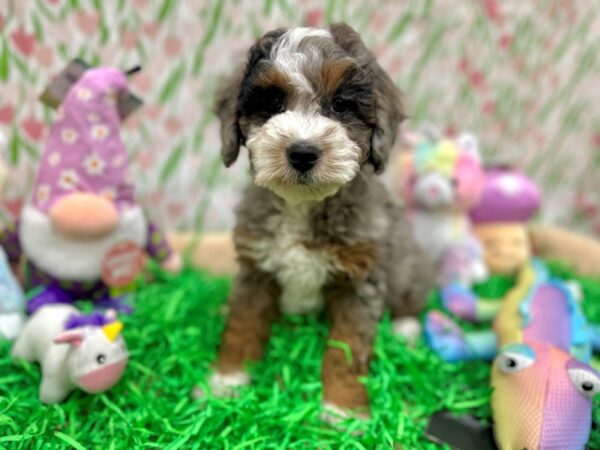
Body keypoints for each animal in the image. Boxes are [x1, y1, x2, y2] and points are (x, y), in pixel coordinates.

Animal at [210, 23, 432, 418]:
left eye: (341, 105)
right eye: (273, 104)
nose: (302, 152)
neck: (303, 205)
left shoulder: (360, 282)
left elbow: (346, 349)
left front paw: (342, 409)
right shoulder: (256, 268)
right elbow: (242, 323)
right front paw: (229, 379)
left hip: (409, 265)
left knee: (411, 299)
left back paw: (405, 330)